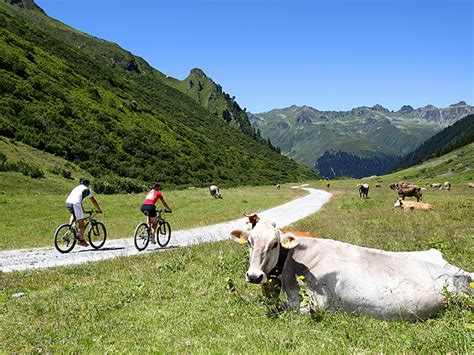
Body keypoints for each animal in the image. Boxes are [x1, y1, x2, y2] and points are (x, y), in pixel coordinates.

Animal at [229, 216, 470, 322]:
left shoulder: (316, 301)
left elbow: (285, 308)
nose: (254, 275)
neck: (293, 261)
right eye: (250, 242)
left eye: (274, 244)